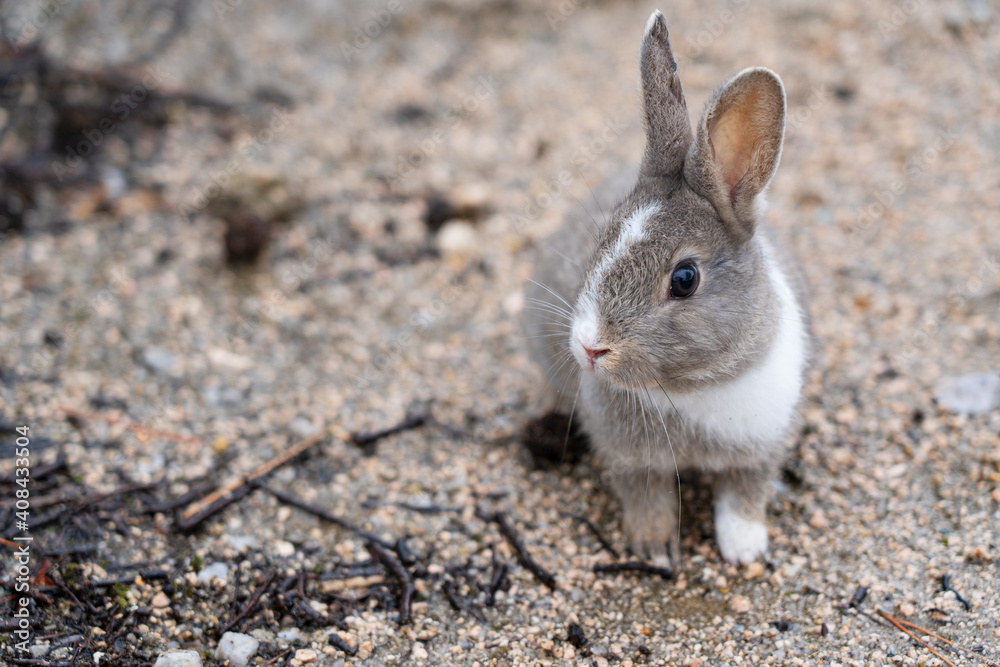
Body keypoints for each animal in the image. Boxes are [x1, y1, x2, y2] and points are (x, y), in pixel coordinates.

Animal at [528, 7, 808, 568]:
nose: (590, 348)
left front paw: (745, 550)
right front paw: (654, 549)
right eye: (602, 237)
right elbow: (647, 497)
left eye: (684, 279)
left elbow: (744, 497)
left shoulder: (762, 449)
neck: (689, 387)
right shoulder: (631, 460)